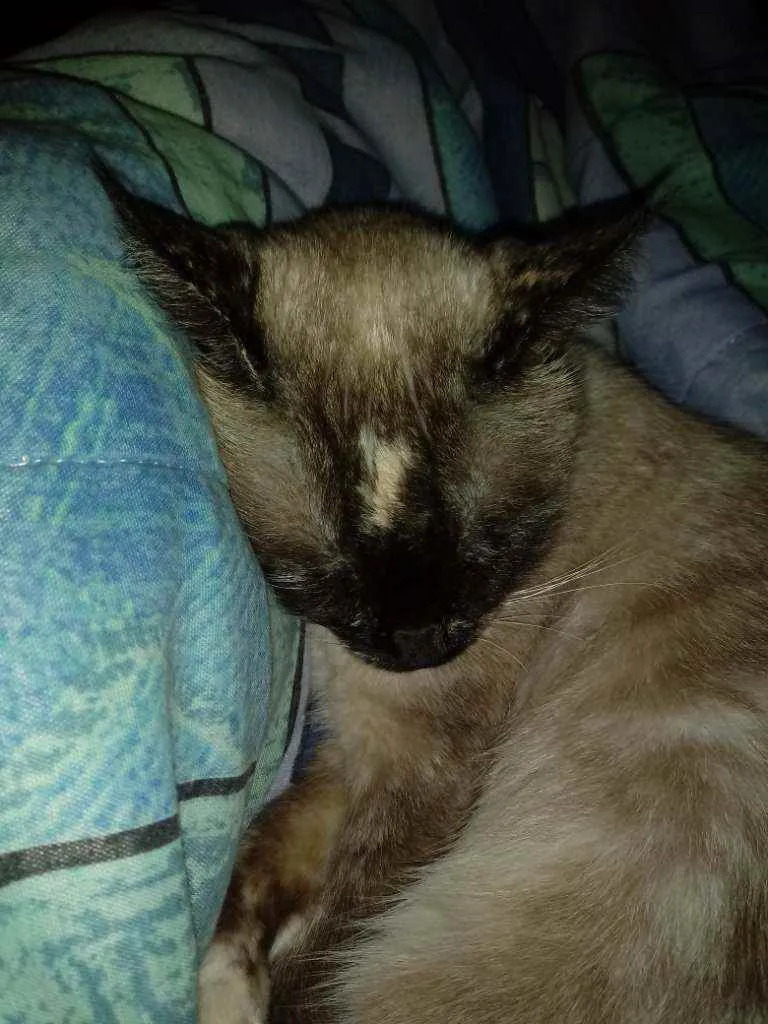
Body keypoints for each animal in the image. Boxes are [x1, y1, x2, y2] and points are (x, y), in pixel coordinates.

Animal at [98, 163, 768, 1024]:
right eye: (328, 579)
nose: (416, 646)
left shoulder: (423, 772)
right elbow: (264, 851)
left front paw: (262, 991)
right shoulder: (356, 751)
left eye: (485, 554)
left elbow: (329, 945)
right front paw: (228, 977)